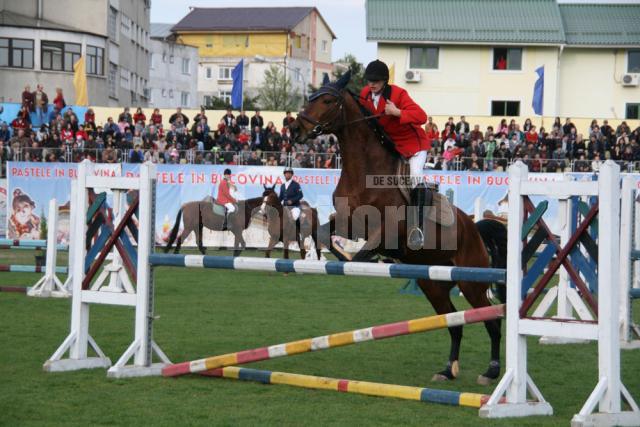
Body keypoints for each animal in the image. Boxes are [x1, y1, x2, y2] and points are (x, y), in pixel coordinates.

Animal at [292, 74, 508, 388]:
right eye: (312, 97)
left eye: (328, 100)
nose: (296, 129)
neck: (363, 169)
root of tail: (474, 228)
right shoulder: (348, 220)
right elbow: (323, 231)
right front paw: (342, 257)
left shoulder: (389, 230)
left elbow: (369, 246)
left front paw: (364, 258)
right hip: (433, 286)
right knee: (454, 324)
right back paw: (447, 370)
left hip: (470, 282)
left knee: (491, 320)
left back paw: (491, 371)